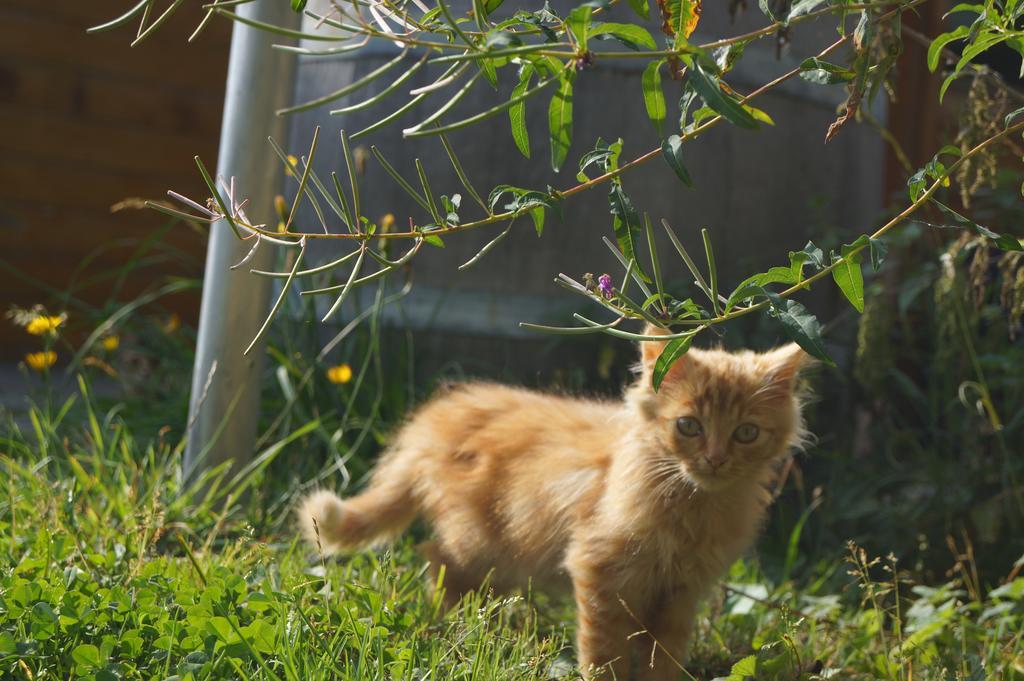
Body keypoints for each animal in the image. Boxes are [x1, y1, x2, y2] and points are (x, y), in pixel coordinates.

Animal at [296, 327, 806, 675]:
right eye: (689, 426)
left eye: (746, 433)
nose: (715, 459)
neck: (693, 506)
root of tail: (434, 421)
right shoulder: (600, 568)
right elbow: (603, 651)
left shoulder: (680, 594)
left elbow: (662, 657)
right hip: (481, 543)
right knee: (436, 557)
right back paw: (457, 627)